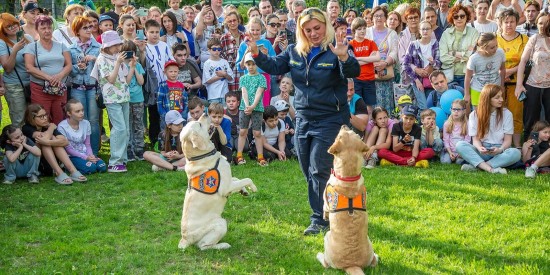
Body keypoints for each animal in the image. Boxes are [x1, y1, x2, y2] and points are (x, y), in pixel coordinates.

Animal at [180, 114, 260, 252]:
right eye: (199, 124)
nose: (205, 114)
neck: (202, 156)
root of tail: (185, 240)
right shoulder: (225, 187)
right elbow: (246, 179)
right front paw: (252, 187)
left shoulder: (228, 181)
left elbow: (237, 179)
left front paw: (243, 191)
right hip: (221, 223)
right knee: (203, 246)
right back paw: (223, 245)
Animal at [320, 126, 380, 274]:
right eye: (356, 134)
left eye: (339, 135)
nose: (344, 125)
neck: (349, 177)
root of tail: (352, 265)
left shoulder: (325, 199)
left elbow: (324, 207)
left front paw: (325, 215)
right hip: (370, 244)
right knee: (374, 261)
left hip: (327, 237)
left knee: (325, 263)